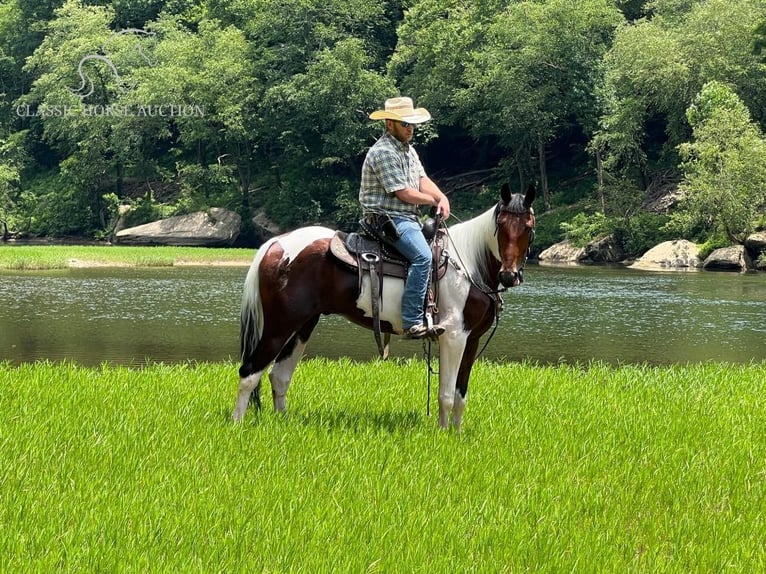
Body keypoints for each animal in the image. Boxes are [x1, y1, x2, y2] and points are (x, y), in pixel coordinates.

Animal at [231, 184, 536, 432]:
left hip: (304, 325)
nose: (510, 275)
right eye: (501, 224)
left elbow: (461, 394)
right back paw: (237, 425)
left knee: (279, 376)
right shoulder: (453, 336)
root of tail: (275, 244)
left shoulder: (471, 339)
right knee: (249, 373)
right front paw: (443, 435)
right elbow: (447, 395)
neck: (469, 263)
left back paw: (282, 423)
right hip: (279, 325)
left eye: (528, 226)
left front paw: (456, 434)